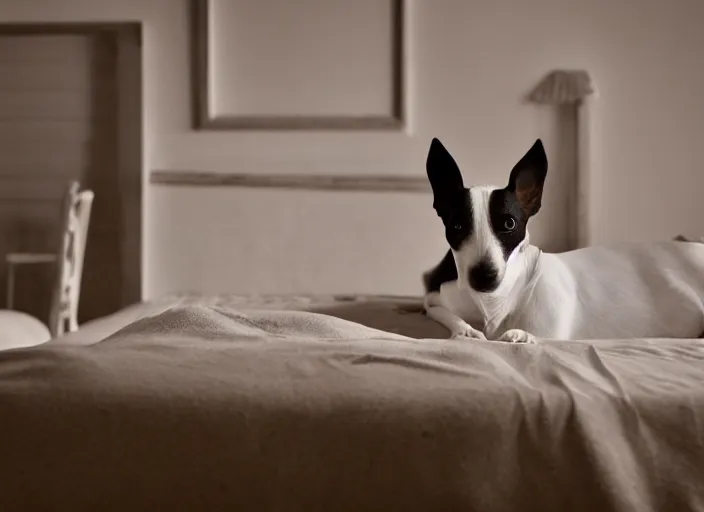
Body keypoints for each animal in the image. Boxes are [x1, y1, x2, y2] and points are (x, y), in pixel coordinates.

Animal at [420, 138, 704, 342]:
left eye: (509, 223)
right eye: (457, 225)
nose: (484, 276)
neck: (494, 304)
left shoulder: (550, 331)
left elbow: (534, 336)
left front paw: (517, 335)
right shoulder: (435, 300)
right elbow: (444, 312)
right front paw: (466, 329)